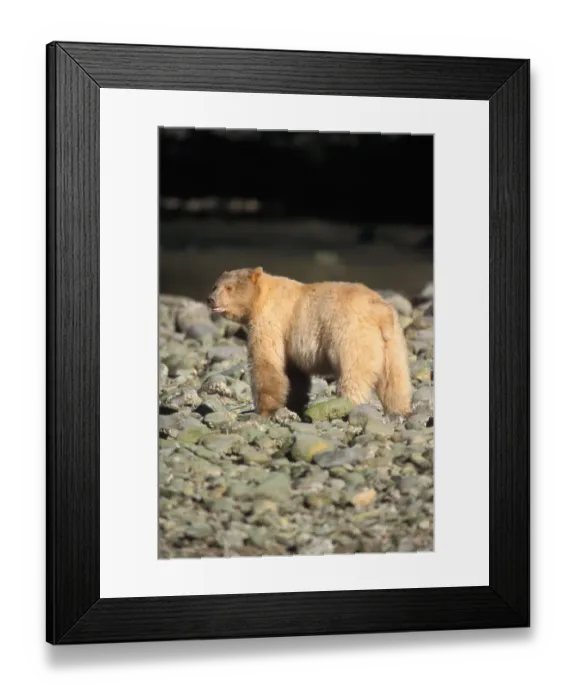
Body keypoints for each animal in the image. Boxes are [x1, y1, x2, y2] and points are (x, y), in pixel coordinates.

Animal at [207, 267, 412, 418]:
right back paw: (399, 410)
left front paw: (263, 409)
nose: (210, 299)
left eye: (229, 288)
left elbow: (266, 362)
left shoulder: (271, 322)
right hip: (393, 342)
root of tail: (380, 313)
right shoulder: (289, 339)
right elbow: (294, 374)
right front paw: (293, 404)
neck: (261, 298)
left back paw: (348, 406)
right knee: (395, 379)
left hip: (352, 336)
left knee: (353, 375)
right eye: (215, 286)